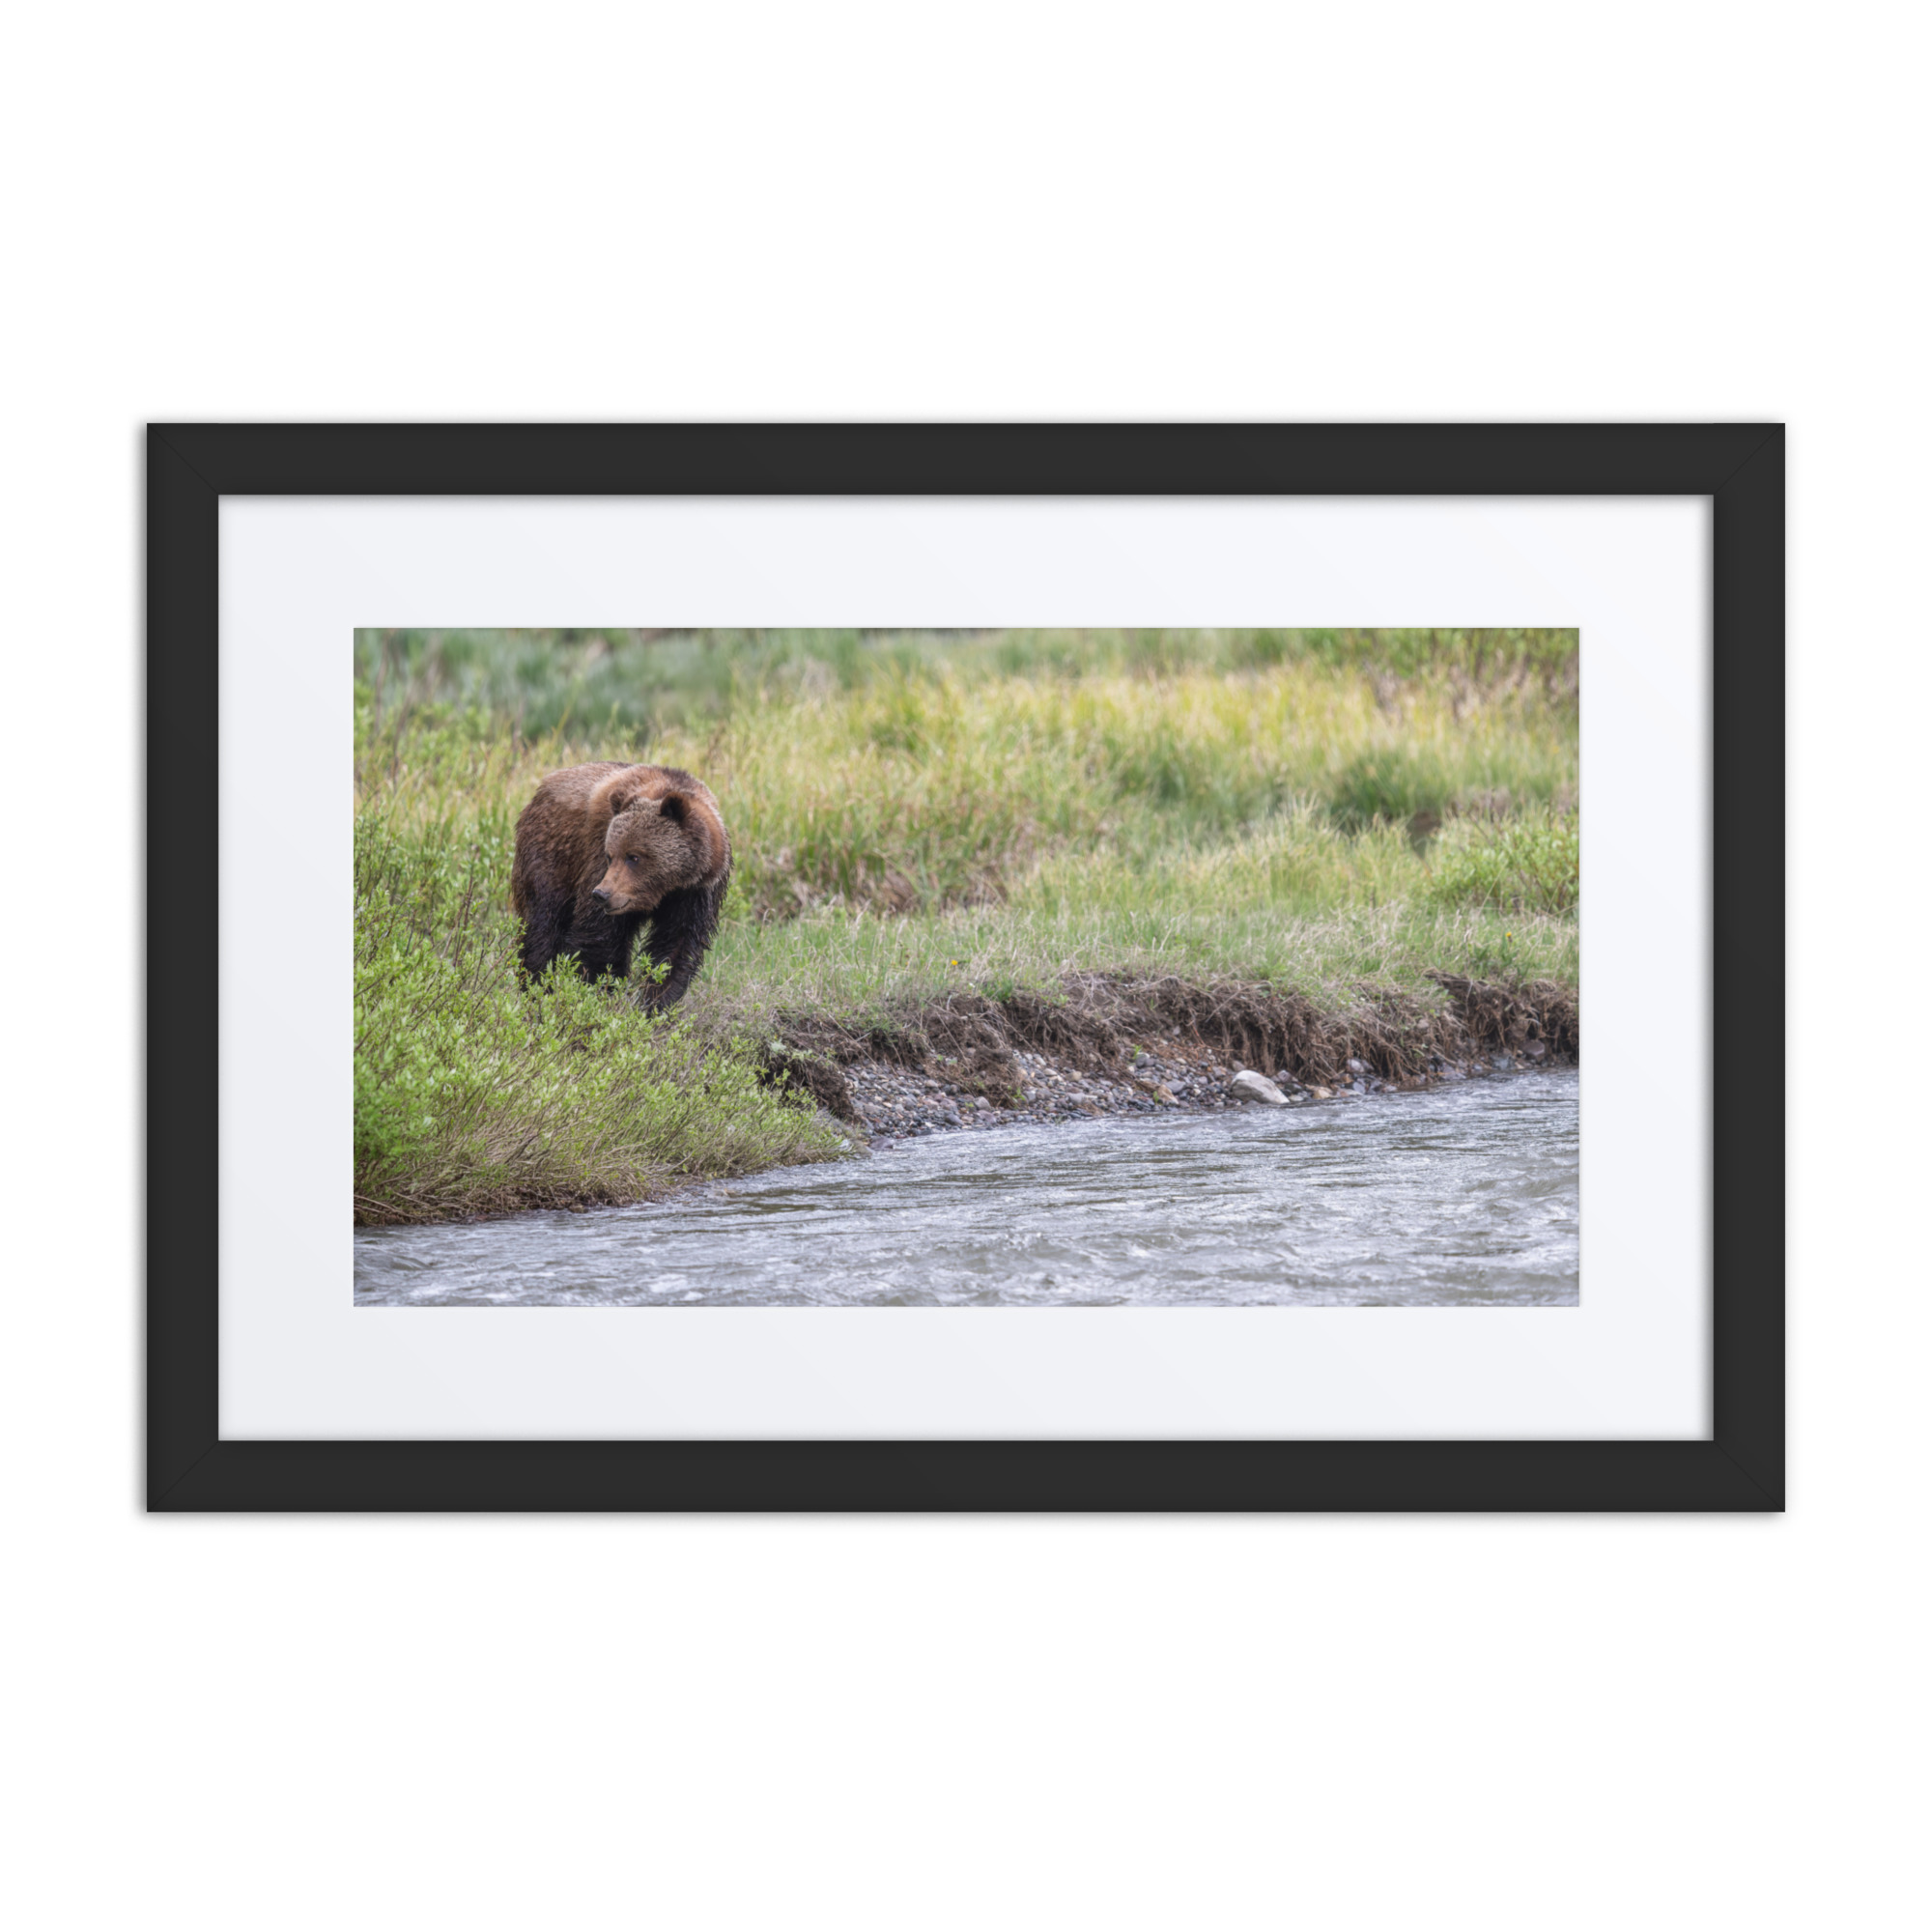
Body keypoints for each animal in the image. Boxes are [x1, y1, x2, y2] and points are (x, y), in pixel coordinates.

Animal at [509, 762, 732, 1007]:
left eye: (634, 857)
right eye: (610, 855)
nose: (602, 894)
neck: (667, 888)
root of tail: (542, 788)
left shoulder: (696, 893)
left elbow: (676, 948)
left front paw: (655, 1002)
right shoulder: (596, 859)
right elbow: (600, 938)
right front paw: (598, 992)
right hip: (552, 856)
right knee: (543, 926)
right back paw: (537, 988)